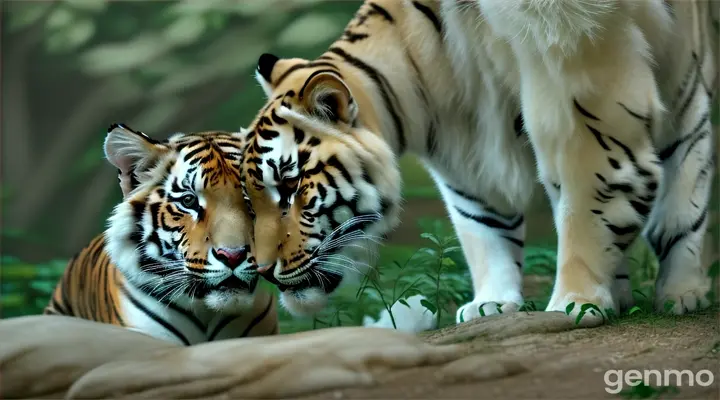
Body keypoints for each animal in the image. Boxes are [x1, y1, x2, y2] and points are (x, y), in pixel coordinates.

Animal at [235, 0, 716, 324]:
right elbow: (483, 230)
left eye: (291, 187)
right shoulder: (463, 150)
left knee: (685, 193)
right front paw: (491, 302)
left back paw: (682, 293)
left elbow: (586, 203)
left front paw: (576, 303)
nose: (262, 270)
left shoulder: (578, 83)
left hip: (683, 93)